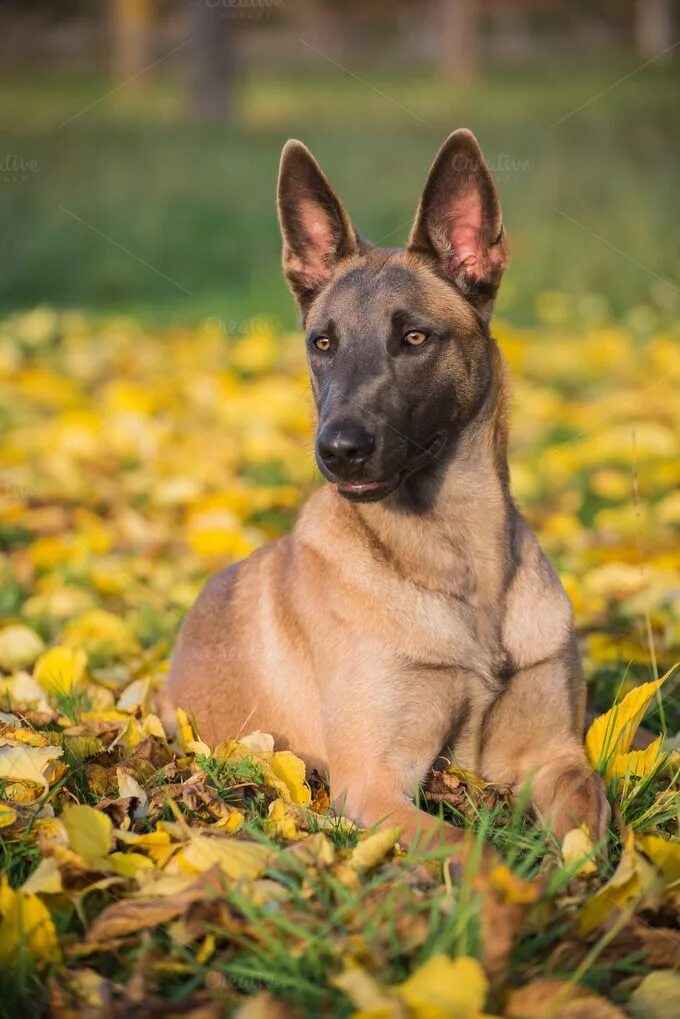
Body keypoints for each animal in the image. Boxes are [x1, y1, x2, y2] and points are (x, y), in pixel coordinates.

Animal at [163, 129, 611, 860]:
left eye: (415, 337)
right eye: (322, 343)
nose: (338, 450)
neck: (461, 562)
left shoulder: (556, 755)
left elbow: (583, 830)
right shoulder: (374, 786)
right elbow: (475, 852)